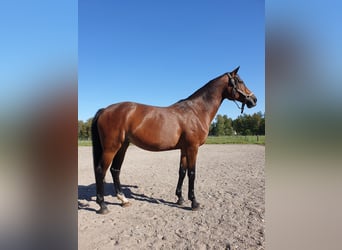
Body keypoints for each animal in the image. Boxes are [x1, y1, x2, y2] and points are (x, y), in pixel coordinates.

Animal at [91, 66, 256, 213]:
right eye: (240, 81)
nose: (254, 100)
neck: (196, 111)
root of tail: (104, 110)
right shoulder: (193, 148)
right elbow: (192, 173)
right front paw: (194, 202)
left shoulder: (184, 149)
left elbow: (182, 171)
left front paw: (180, 198)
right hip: (111, 148)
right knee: (101, 170)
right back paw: (103, 205)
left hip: (123, 146)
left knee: (115, 170)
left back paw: (123, 200)